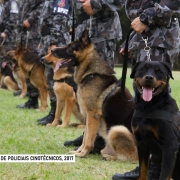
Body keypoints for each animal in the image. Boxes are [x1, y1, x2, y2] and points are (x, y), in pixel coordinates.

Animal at [50, 29, 138, 160]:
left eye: (70, 47)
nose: (52, 50)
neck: (91, 74)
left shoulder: (92, 115)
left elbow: (88, 139)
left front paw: (82, 154)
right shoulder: (88, 115)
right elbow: (86, 137)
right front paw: (78, 152)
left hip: (117, 130)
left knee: (133, 158)